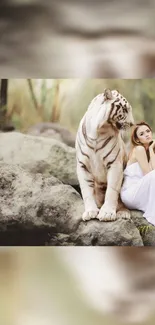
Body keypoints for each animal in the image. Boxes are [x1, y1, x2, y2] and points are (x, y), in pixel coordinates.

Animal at [75, 87, 134, 221]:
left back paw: (123, 213)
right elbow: (86, 191)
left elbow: (112, 190)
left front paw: (107, 213)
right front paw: (90, 211)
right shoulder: (82, 165)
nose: (132, 124)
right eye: (125, 109)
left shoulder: (115, 164)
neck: (98, 130)